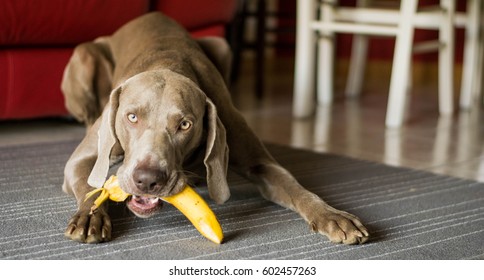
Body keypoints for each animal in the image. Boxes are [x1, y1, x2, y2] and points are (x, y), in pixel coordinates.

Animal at [61, 12, 370, 245]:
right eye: (132, 117)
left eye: (185, 124)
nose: (148, 180)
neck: (167, 63)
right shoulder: (81, 159)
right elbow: (90, 186)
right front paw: (90, 216)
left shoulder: (258, 159)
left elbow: (297, 188)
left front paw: (331, 215)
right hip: (85, 55)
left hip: (222, 44)